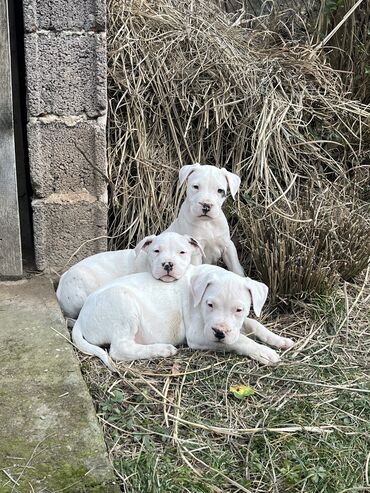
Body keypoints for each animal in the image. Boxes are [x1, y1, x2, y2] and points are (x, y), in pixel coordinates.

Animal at [71, 264, 292, 368]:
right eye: (209, 305)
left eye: (239, 310)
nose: (219, 332)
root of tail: (81, 318)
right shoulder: (198, 335)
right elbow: (241, 340)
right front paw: (263, 352)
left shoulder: (236, 326)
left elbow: (254, 324)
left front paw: (279, 340)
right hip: (124, 305)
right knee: (119, 350)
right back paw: (162, 350)